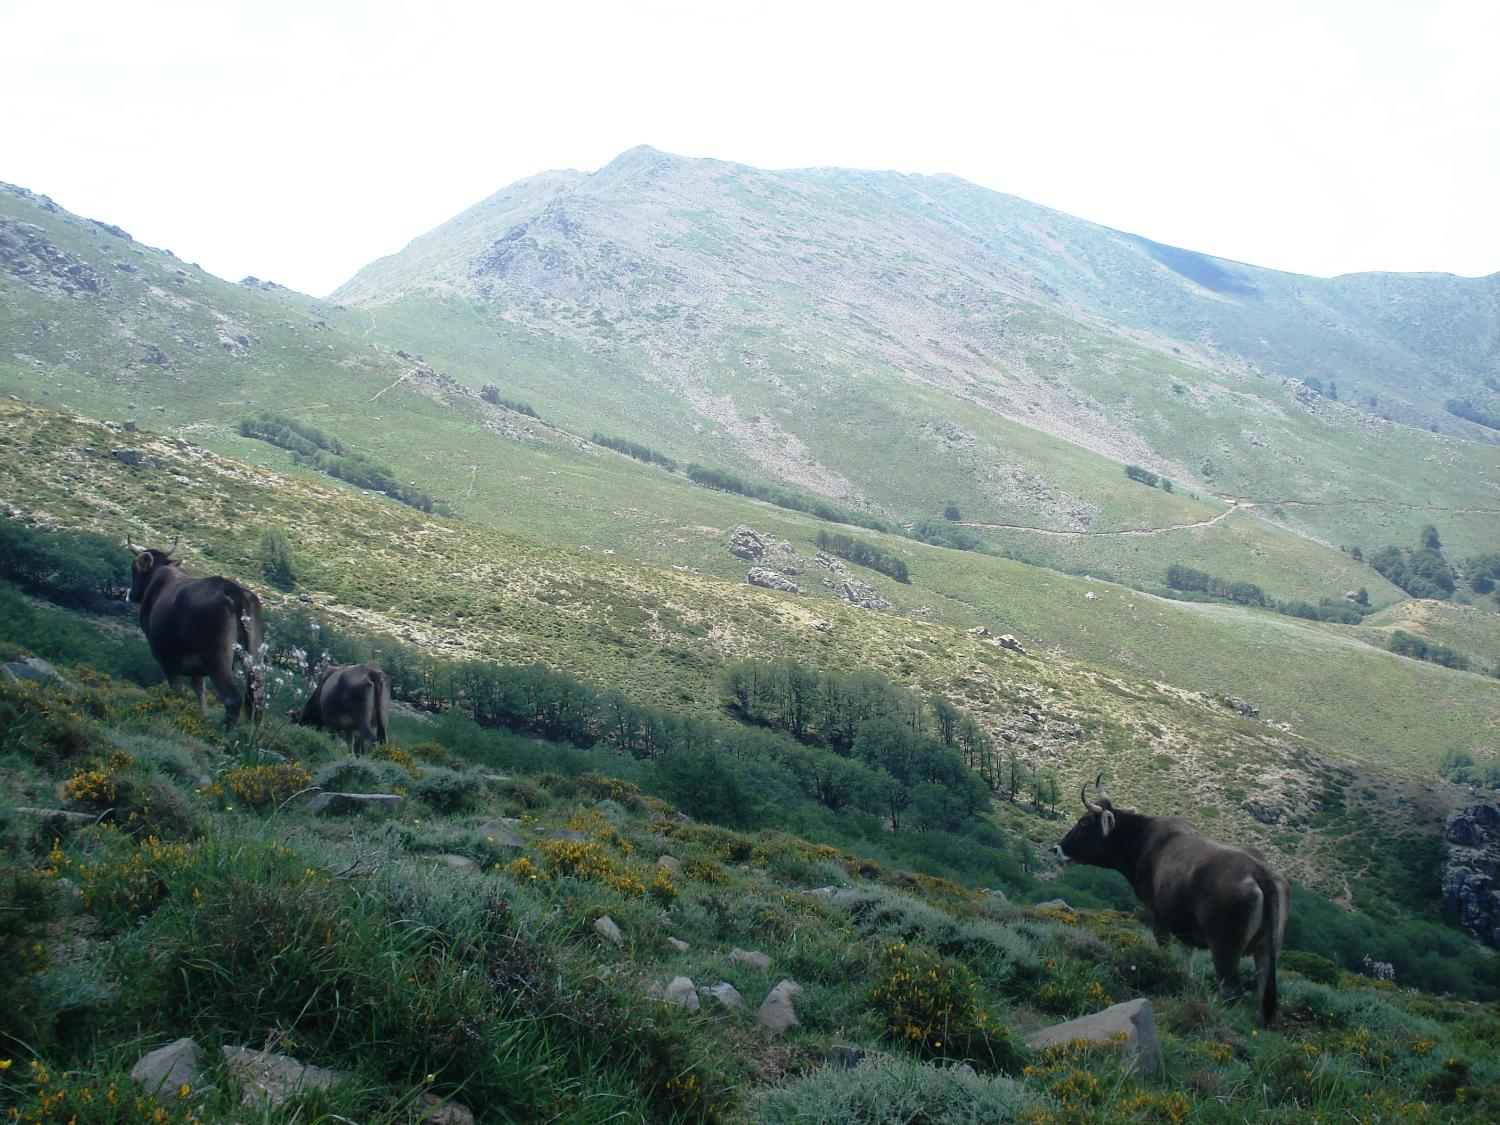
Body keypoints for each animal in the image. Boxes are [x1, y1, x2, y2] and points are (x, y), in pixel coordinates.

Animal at [126, 549, 267, 726]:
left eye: (133, 568)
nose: (131, 594)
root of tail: (234, 591)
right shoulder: (196, 668)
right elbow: (199, 691)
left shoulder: (166, 659)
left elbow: (178, 690)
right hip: (254, 656)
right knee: (256, 698)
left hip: (217, 659)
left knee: (232, 699)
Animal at [1056, 780, 1290, 1026]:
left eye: (1083, 824)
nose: (1058, 848)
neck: (1144, 841)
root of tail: (1259, 872)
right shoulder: (1184, 925)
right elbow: (1187, 955)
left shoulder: (1157, 916)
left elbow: (1166, 950)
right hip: (1267, 950)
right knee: (1264, 991)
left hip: (1224, 948)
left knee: (1231, 990)